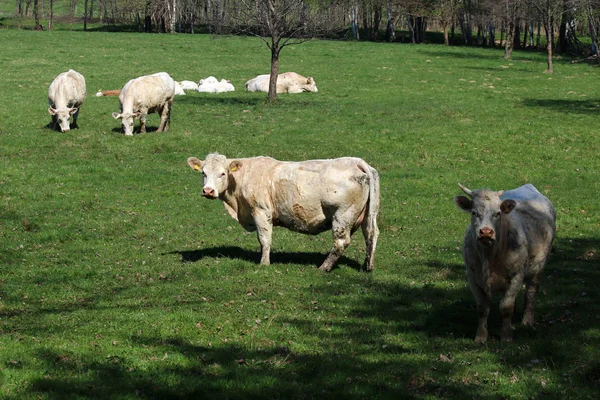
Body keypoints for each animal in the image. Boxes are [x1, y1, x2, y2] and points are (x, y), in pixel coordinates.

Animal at [188, 153, 380, 272]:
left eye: (222, 173)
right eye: (203, 173)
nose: (208, 191)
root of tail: (356, 161)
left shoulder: (261, 211)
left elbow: (264, 239)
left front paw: (264, 263)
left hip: (342, 216)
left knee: (341, 242)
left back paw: (323, 267)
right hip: (367, 215)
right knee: (371, 234)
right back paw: (368, 266)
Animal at [454, 183, 556, 342]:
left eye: (498, 213)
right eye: (474, 213)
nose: (486, 232)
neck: (488, 258)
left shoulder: (516, 275)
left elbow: (506, 307)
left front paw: (506, 335)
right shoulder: (472, 277)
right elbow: (482, 308)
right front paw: (481, 337)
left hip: (539, 267)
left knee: (531, 293)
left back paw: (527, 321)